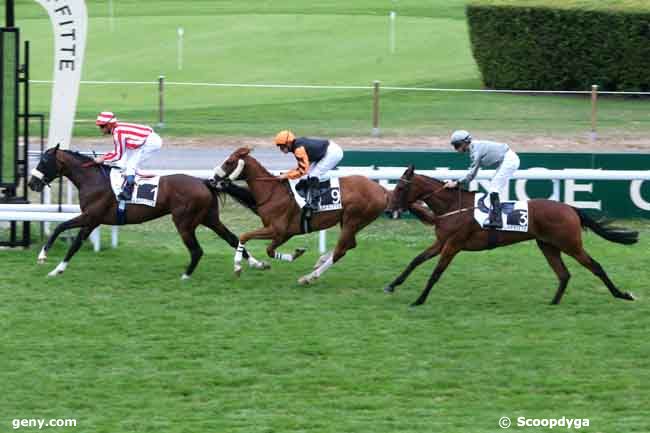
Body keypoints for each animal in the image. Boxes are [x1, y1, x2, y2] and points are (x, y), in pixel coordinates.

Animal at [29, 143, 268, 276]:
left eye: (44, 161)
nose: (32, 183)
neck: (93, 180)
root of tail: (203, 182)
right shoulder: (93, 220)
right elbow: (67, 235)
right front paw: (53, 265)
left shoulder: (91, 216)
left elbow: (66, 233)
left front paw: (48, 262)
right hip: (209, 218)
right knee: (232, 238)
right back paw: (256, 263)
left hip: (184, 222)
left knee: (197, 250)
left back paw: (186, 276)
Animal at [211, 147, 390, 284]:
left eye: (229, 162)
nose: (213, 179)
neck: (272, 192)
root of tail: (381, 190)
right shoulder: (285, 233)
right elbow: (269, 250)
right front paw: (296, 253)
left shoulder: (277, 230)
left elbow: (244, 236)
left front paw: (237, 267)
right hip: (352, 222)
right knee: (349, 245)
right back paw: (320, 260)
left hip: (352, 220)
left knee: (341, 250)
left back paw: (309, 277)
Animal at [382, 164, 636, 306]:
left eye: (401, 187)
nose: (388, 209)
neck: (453, 207)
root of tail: (570, 208)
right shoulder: (442, 242)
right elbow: (416, 260)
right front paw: (392, 285)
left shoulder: (453, 244)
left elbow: (436, 273)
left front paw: (419, 300)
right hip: (547, 245)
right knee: (564, 274)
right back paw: (553, 303)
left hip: (570, 244)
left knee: (595, 266)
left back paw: (623, 295)